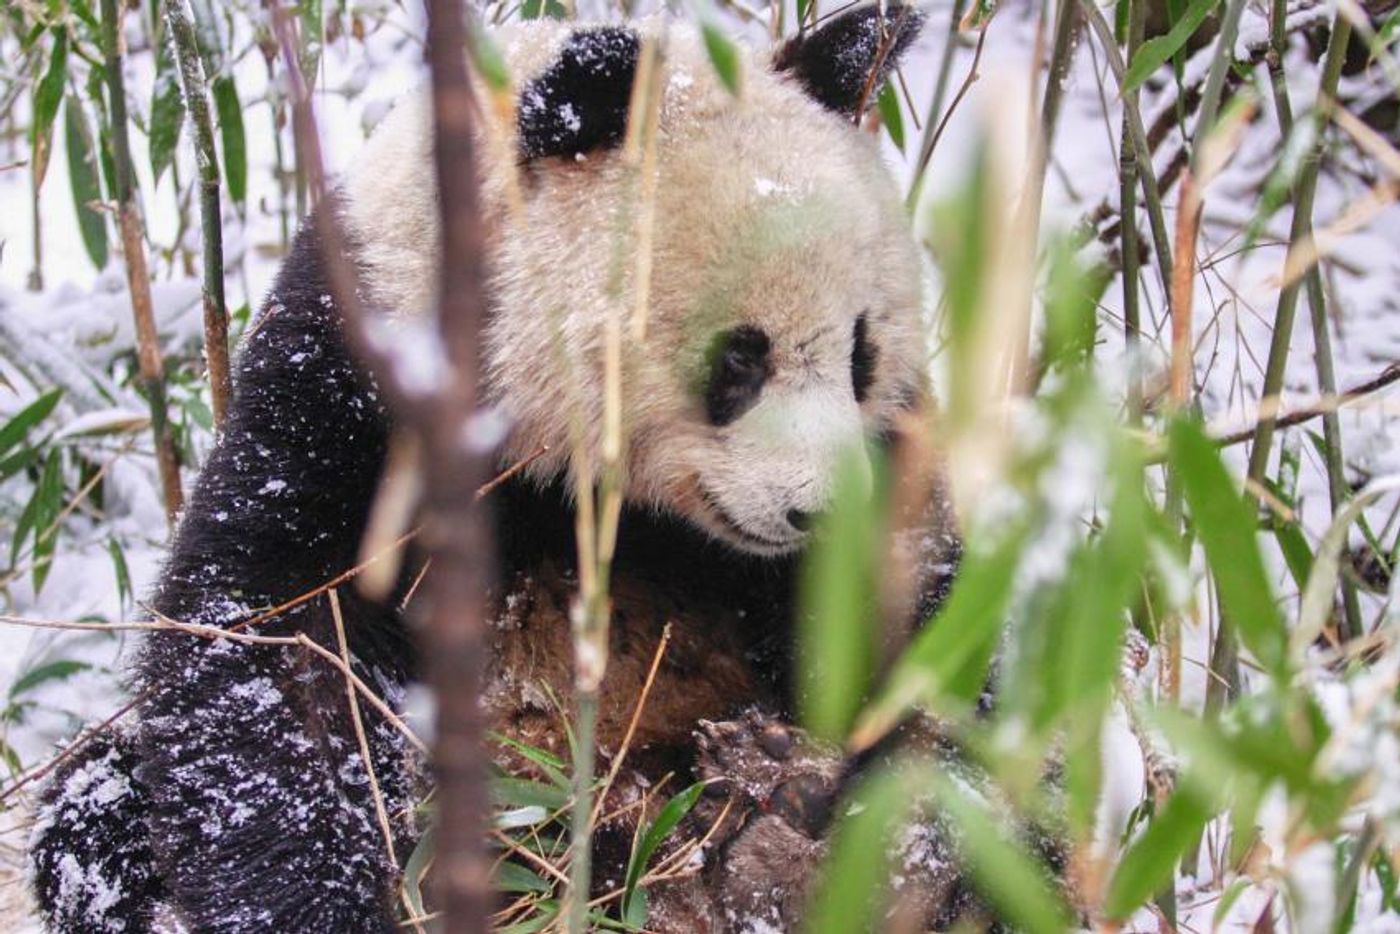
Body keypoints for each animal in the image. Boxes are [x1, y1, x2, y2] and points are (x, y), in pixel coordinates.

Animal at [27, 9, 968, 934]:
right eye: (739, 359)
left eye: (861, 352)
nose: (823, 511)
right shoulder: (349, 376)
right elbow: (270, 639)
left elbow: (922, 630)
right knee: (91, 810)